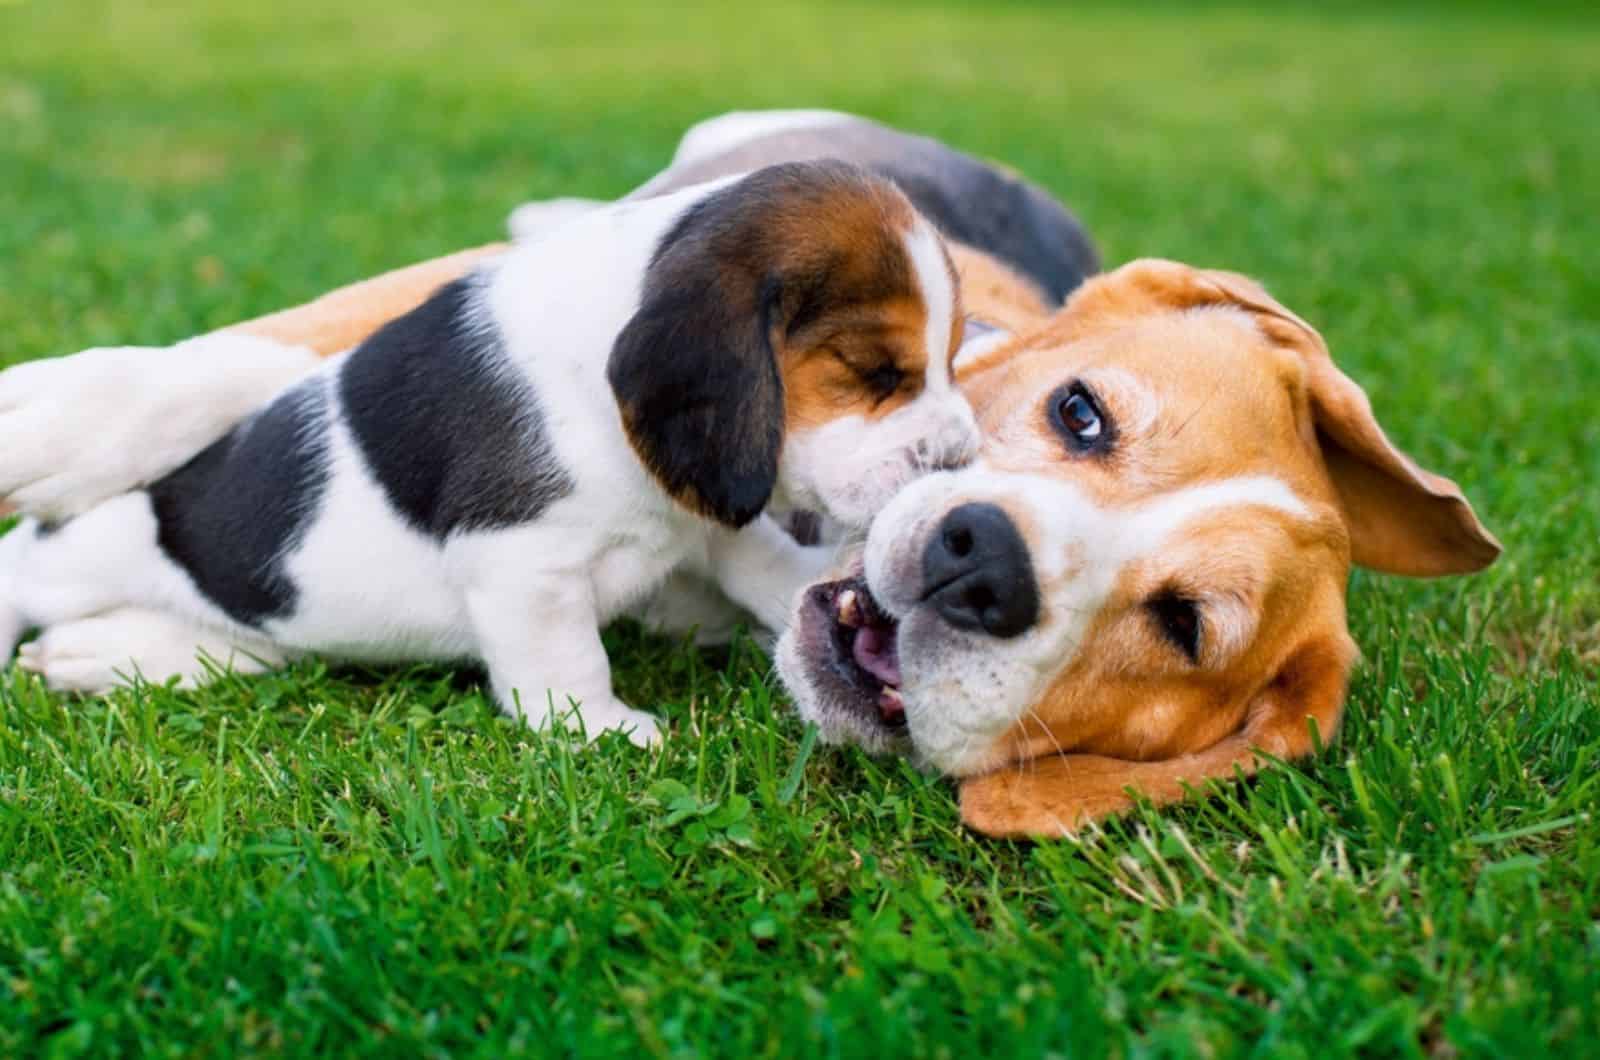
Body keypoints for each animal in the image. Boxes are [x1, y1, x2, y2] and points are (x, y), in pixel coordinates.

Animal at [0, 161, 972, 742]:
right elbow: (567, 657)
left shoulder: (705, 513)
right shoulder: (524, 560)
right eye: (872, 371)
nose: (961, 460)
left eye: (954, 355)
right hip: (79, 552)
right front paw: (600, 728)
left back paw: (107, 653)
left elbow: (767, 566)